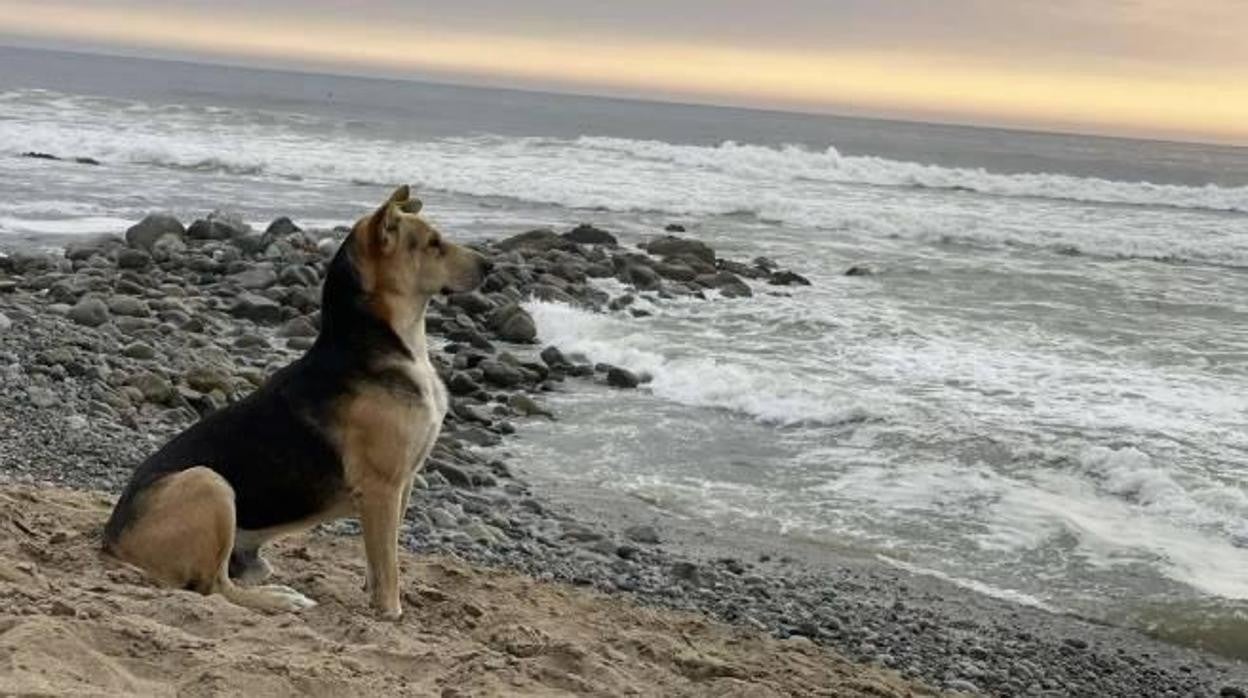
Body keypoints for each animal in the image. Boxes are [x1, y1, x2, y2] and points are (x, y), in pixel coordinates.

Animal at [101, 184, 486, 616]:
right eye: (434, 243)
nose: (490, 266)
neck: (384, 342)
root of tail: (113, 537)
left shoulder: (403, 484)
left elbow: (379, 557)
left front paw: (372, 594)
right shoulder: (382, 488)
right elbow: (388, 564)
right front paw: (390, 611)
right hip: (209, 482)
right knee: (215, 587)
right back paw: (280, 599)